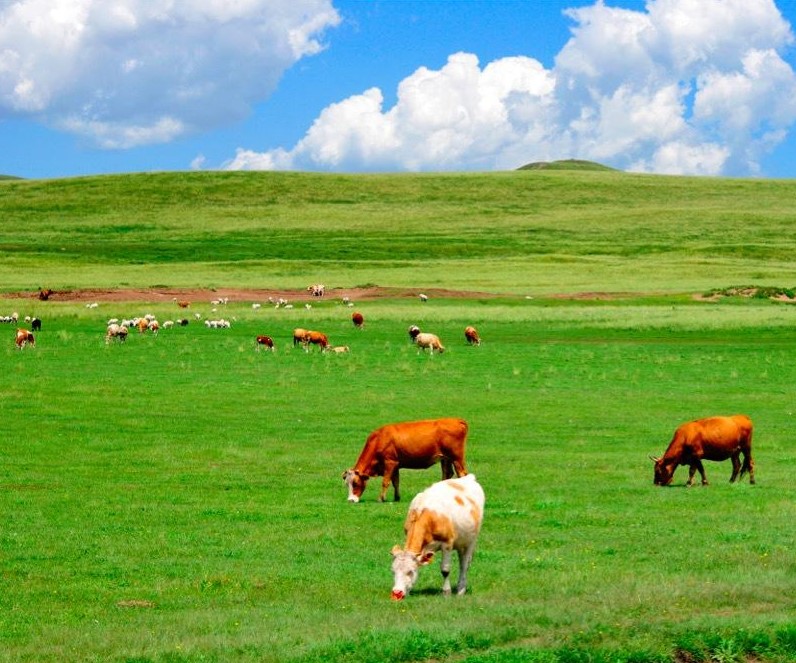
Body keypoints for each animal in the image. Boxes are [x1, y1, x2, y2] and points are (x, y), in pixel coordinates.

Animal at [388, 474, 482, 604]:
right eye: (393, 571)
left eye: (410, 571)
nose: (397, 593)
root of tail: (468, 478)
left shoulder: (447, 544)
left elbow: (445, 569)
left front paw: (446, 592)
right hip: (461, 542)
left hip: (471, 541)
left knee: (464, 565)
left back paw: (461, 589)